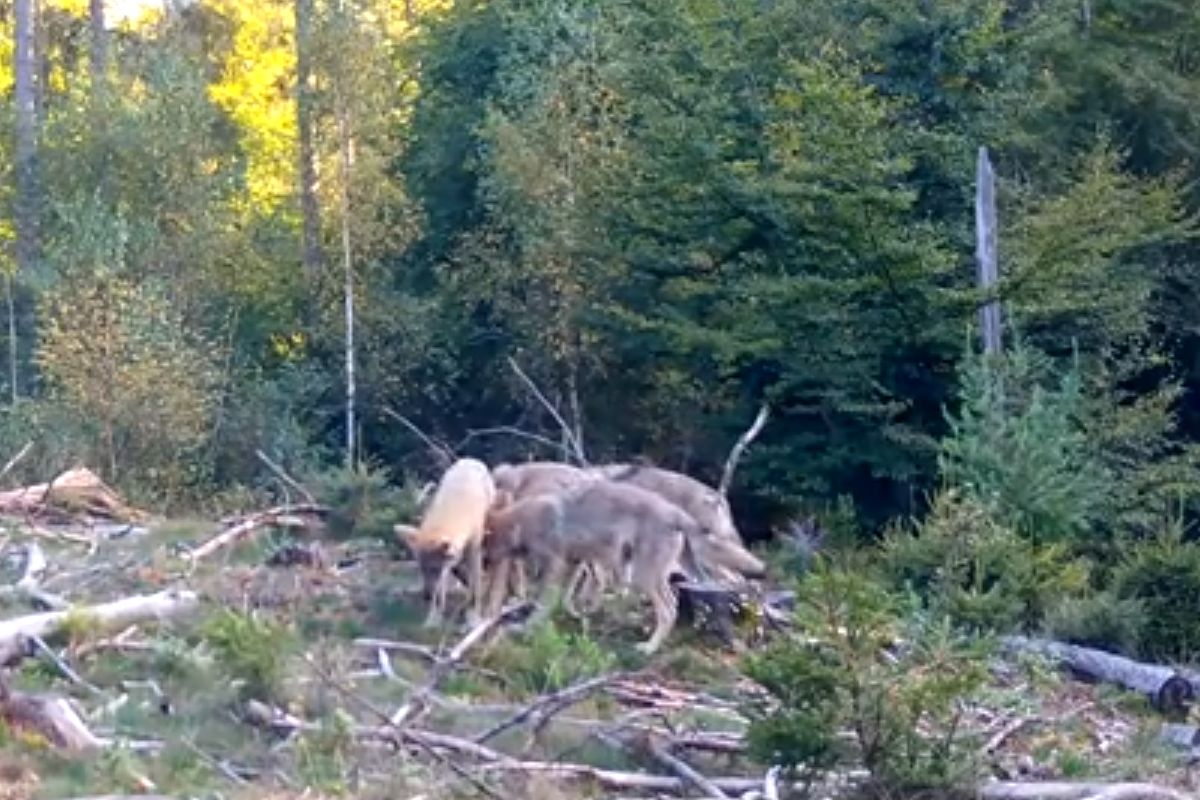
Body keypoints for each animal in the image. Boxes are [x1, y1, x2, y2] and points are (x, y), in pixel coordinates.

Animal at [393, 460, 496, 628]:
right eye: (421, 569)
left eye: (434, 568)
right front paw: (433, 619)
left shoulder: (474, 551)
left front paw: (473, 617)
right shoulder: (445, 565)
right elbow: (440, 592)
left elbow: (476, 588)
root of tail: (469, 460)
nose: (426, 596)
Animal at [482, 482, 700, 657]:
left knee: (668, 610)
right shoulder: (574, 563)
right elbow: (566, 596)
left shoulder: (554, 566)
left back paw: (649, 647)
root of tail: (675, 512)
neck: (524, 522)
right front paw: (576, 614)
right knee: (672, 604)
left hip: (641, 576)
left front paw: (528, 627)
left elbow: (544, 602)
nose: (483, 565)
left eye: (485, 547)